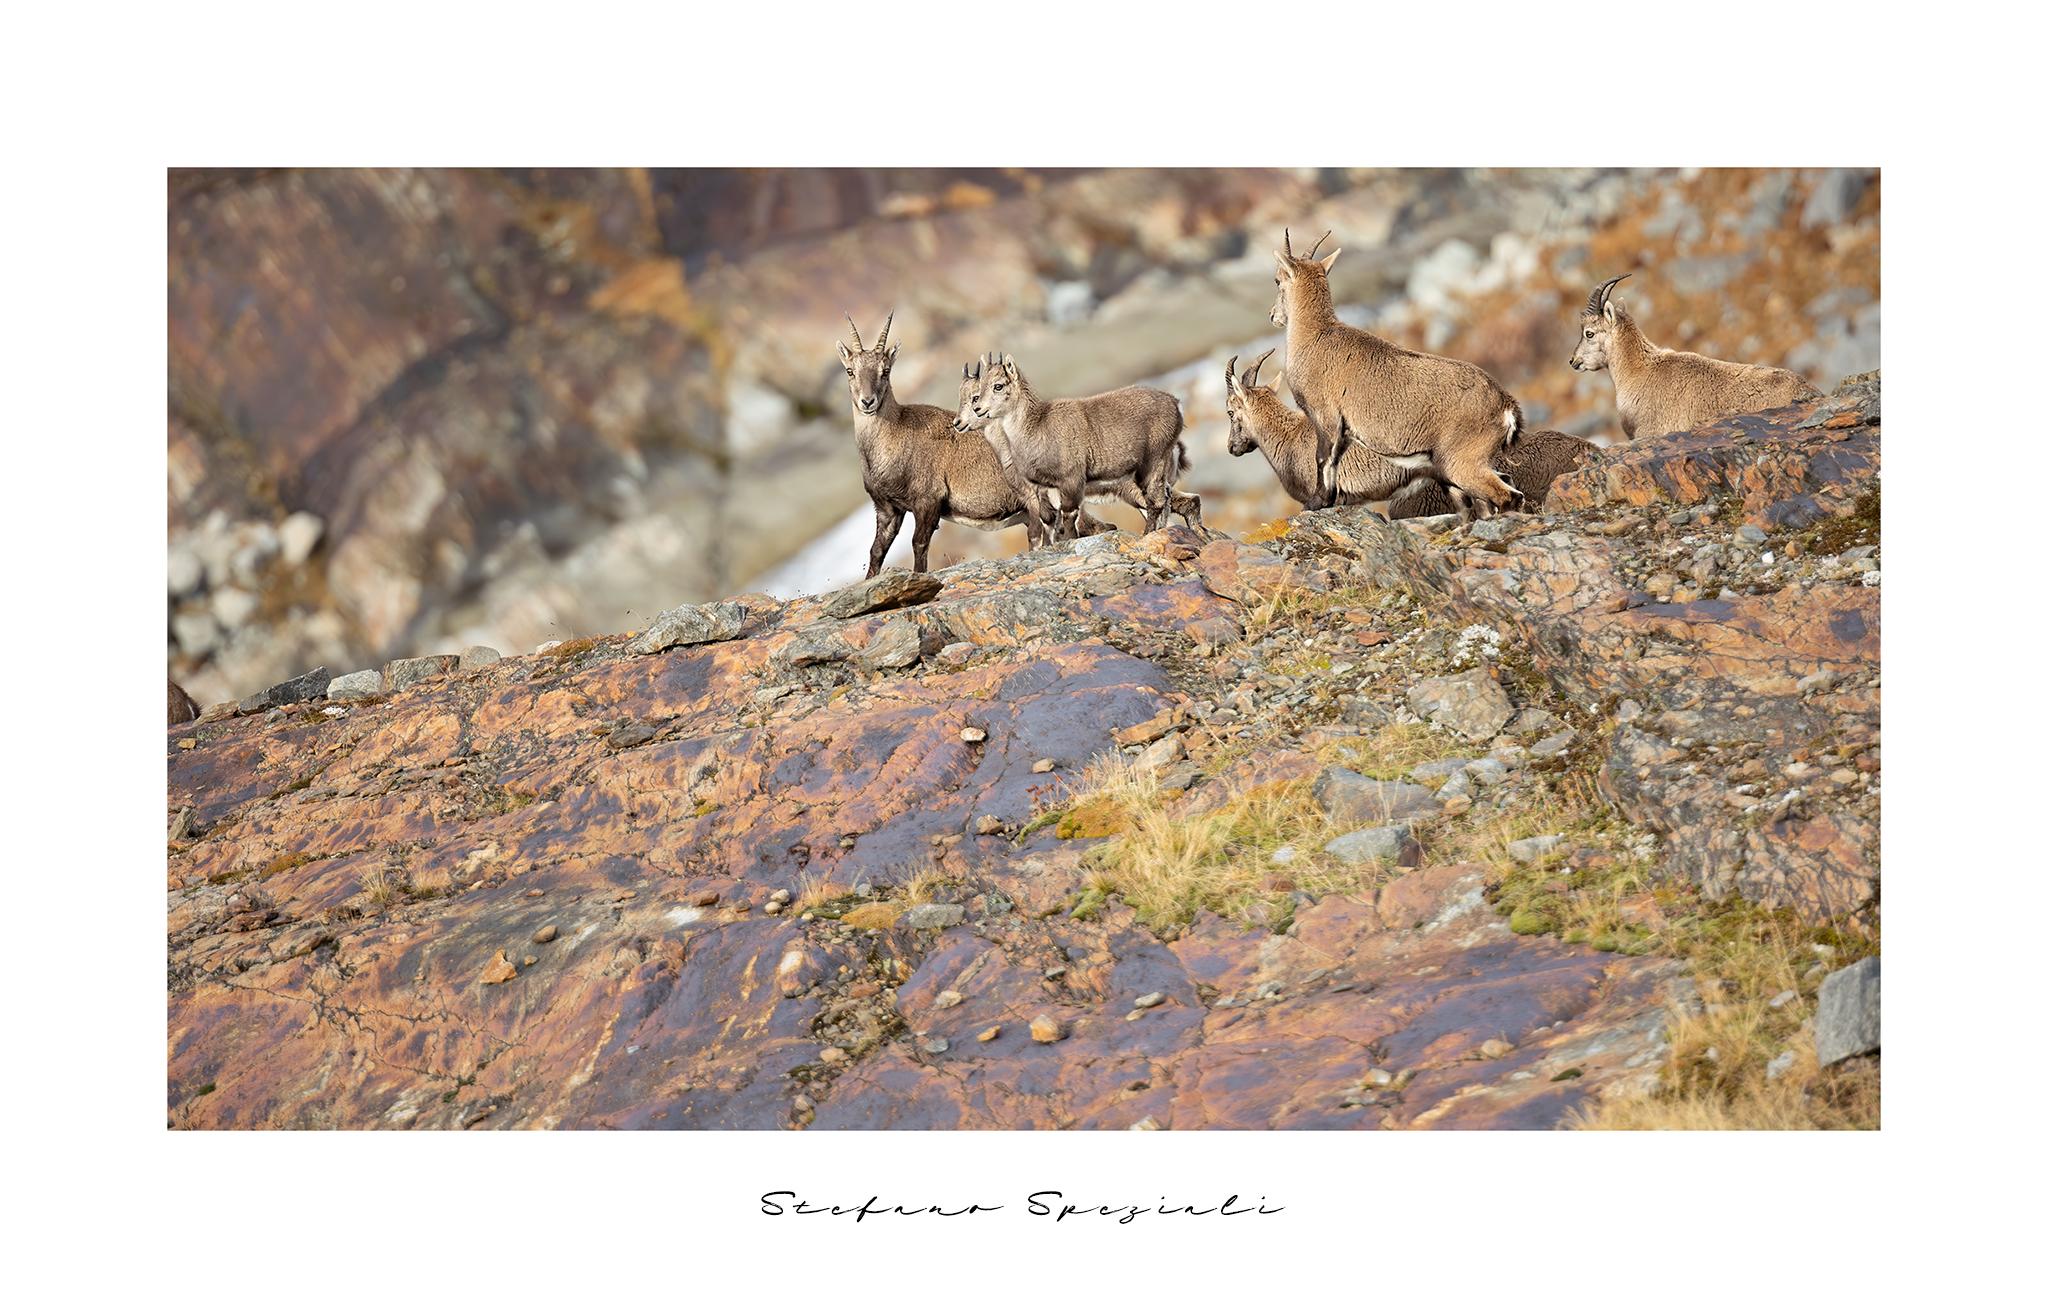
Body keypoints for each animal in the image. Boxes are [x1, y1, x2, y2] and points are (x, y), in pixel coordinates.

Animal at [837, 312, 1066, 577]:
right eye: (850, 371)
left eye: (885, 370)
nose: (868, 402)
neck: (893, 437)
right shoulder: (887, 509)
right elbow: (876, 552)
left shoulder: (928, 500)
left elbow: (919, 544)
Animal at [961, 351, 1202, 543]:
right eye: (980, 387)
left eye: (998, 386)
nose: (978, 409)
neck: (1036, 428)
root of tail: (1176, 404)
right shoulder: (1045, 489)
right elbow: (1050, 522)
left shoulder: (1071, 480)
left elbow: (1069, 516)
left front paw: (1069, 541)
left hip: (1152, 461)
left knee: (1158, 501)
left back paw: (1149, 534)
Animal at [1270, 228, 1523, 515]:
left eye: (1277, 280)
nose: (1273, 315)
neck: (1316, 334)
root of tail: (1507, 406)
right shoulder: (1345, 429)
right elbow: (1334, 462)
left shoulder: (1325, 414)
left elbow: (1323, 458)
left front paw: (1316, 503)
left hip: (1461, 461)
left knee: (1506, 495)